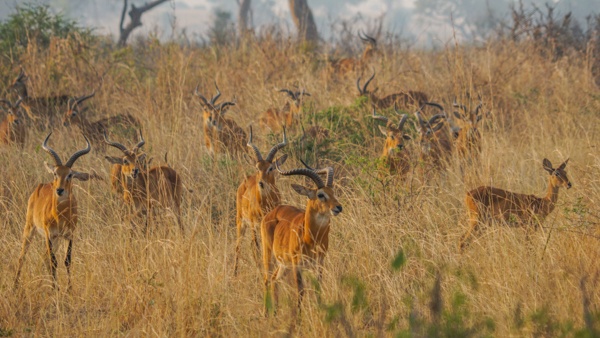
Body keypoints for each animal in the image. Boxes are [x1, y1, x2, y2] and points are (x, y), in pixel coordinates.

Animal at [233, 126, 290, 274]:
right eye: (257, 167)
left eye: (271, 168)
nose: (261, 183)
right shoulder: (253, 223)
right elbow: (257, 248)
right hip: (241, 222)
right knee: (239, 246)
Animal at [262, 161, 342, 314]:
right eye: (320, 194)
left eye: (333, 192)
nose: (338, 207)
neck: (311, 238)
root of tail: (272, 212)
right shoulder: (297, 264)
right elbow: (300, 291)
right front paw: (298, 317)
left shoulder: (319, 263)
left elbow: (318, 289)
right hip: (269, 255)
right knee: (267, 279)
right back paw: (266, 314)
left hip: (284, 264)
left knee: (275, 279)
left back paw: (275, 312)